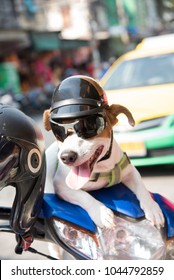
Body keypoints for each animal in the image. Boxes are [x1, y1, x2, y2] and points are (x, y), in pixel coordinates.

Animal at [43, 76, 164, 230]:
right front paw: (101, 213)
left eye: (88, 126)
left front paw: (152, 209)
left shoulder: (130, 172)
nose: (67, 157)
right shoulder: (62, 186)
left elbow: (141, 188)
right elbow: (84, 197)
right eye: (58, 131)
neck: (102, 168)